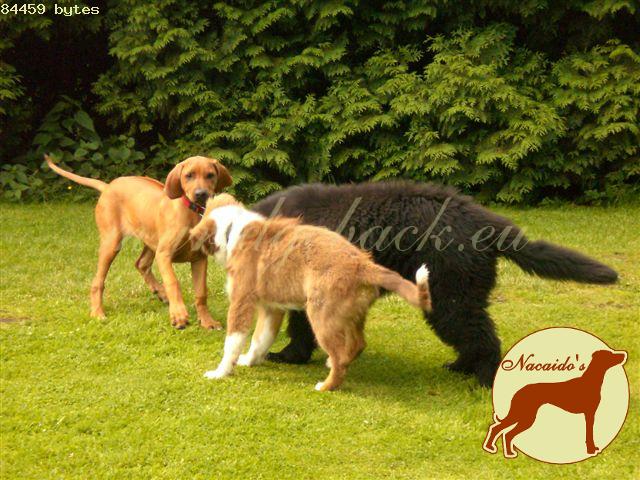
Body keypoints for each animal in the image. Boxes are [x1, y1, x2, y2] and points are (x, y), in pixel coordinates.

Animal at [46, 154, 232, 329]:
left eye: (210, 175)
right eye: (189, 175)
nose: (201, 194)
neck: (191, 211)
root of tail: (108, 186)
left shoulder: (199, 258)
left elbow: (201, 293)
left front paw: (207, 321)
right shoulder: (164, 254)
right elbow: (173, 282)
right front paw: (178, 314)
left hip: (150, 239)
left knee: (141, 264)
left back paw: (160, 292)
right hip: (112, 243)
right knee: (98, 281)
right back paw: (98, 312)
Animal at [189, 194, 432, 391]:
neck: (232, 229)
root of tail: (363, 265)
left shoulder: (241, 302)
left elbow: (232, 342)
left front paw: (219, 372)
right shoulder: (271, 309)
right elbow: (260, 339)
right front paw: (249, 360)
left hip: (321, 317)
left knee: (340, 358)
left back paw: (326, 385)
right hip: (351, 314)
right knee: (357, 345)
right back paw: (334, 362)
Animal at [251, 182, 619, 386]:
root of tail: (485, 221)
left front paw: (288, 356)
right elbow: (302, 329)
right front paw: (294, 355)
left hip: (448, 298)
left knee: (483, 338)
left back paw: (484, 381)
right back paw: (461, 368)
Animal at [483, 349, 627, 457]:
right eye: (610, 354)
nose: (624, 355)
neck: (590, 381)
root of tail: (518, 391)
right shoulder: (589, 413)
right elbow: (589, 434)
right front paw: (591, 450)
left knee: (503, 431)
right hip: (525, 416)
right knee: (501, 430)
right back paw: (496, 449)